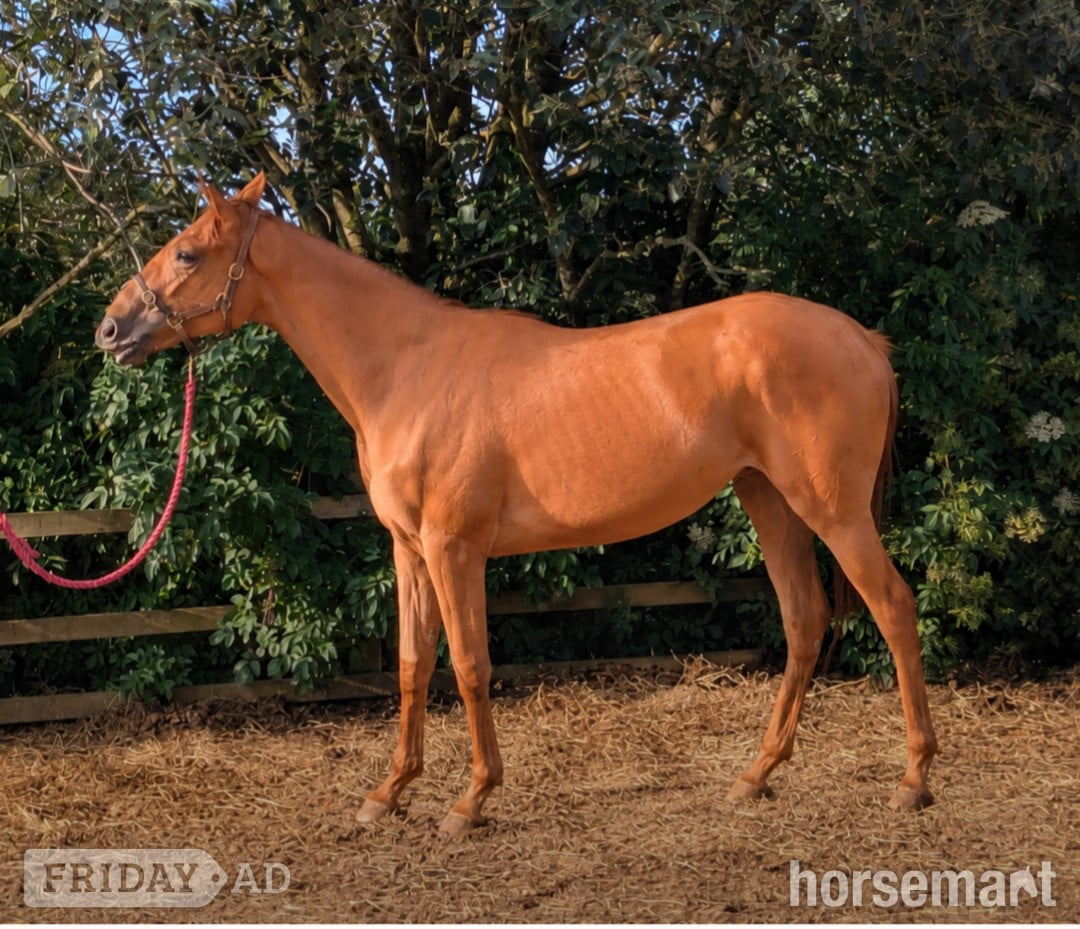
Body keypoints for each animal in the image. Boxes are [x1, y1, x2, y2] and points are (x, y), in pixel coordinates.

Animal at [95, 172, 936, 834]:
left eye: (187, 253)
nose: (111, 328)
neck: (407, 368)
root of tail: (865, 341)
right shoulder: (409, 550)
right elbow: (412, 663)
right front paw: (388, 792)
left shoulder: (452, 546)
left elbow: (469, 664)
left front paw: (470, 800)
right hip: (770, 500)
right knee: (804, 622)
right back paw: (755, 775)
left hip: (833, 512)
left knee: (894, 608)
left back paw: (914, 779)